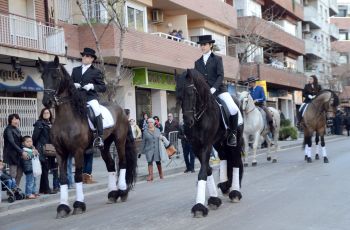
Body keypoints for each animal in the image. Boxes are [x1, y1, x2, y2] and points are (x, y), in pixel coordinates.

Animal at [37, 56, 137, 218]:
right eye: (42, 77)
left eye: (56, 76)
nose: (47, 102)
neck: (66, 119)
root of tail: (122, 110)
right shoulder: (60, 152)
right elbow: (63, 178)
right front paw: (63, 207)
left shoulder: (78, 151)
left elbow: (78, 176)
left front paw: (78, 205)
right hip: (104, 145)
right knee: (110, 165)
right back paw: (112, 194)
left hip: (119, 140)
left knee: (122, 162)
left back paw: (122, 192)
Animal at [175, 68, 243, 217]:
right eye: (178, 95)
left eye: (191, 93)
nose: (187, 122)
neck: (200, 117)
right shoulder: (195, 147)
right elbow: (207, 169)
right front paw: (213, 199)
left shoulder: (206, 145)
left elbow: (202, 172)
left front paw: (199, 206)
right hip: (219, 142)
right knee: (224, 157)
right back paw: (224, 185)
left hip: (235, 141)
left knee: (235, 161)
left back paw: (235, 192)